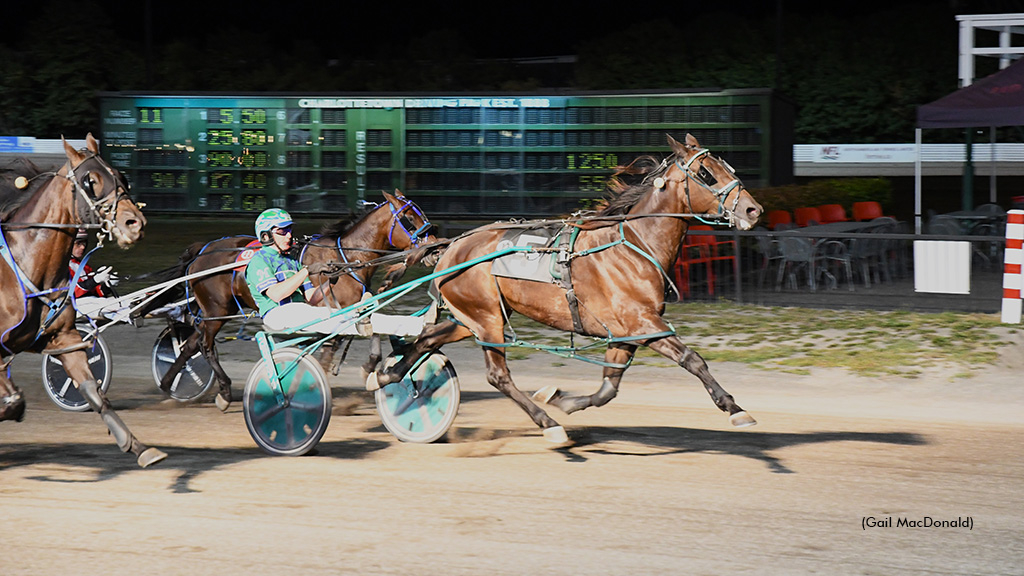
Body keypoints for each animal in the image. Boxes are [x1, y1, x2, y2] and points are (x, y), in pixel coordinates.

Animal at [0, 134, 161, 467]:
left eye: (121, 175)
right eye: (90, 181)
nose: (135, 223)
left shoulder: (65, 338)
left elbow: (93, 389)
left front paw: (137, 446)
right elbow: (12, 399)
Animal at [152, 190, 437, 411]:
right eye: (409, 219)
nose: (434, 249)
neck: (344, 260)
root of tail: (201, 251)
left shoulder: (351, 308)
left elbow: (369, 328)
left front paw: (368, 367)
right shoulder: (330, 314)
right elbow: (329, 349)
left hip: (216, 312)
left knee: (191, 343)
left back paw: (167, 384)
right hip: (216, 310)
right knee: (205, 345)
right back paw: (223, 391)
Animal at [368, 134, 763, 443]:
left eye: (726, 166)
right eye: (706, 173)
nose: (753, 210)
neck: (632, 245)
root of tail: (451, 247)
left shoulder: (626, 333)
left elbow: (608, 388)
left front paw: (561, 399)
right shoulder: (643, 323)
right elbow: (692, 359)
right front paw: (734, 408)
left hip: (474, 318)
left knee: (425, 340)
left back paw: (386, 376)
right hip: (486, 320)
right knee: (497, 375)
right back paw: (548, 425)